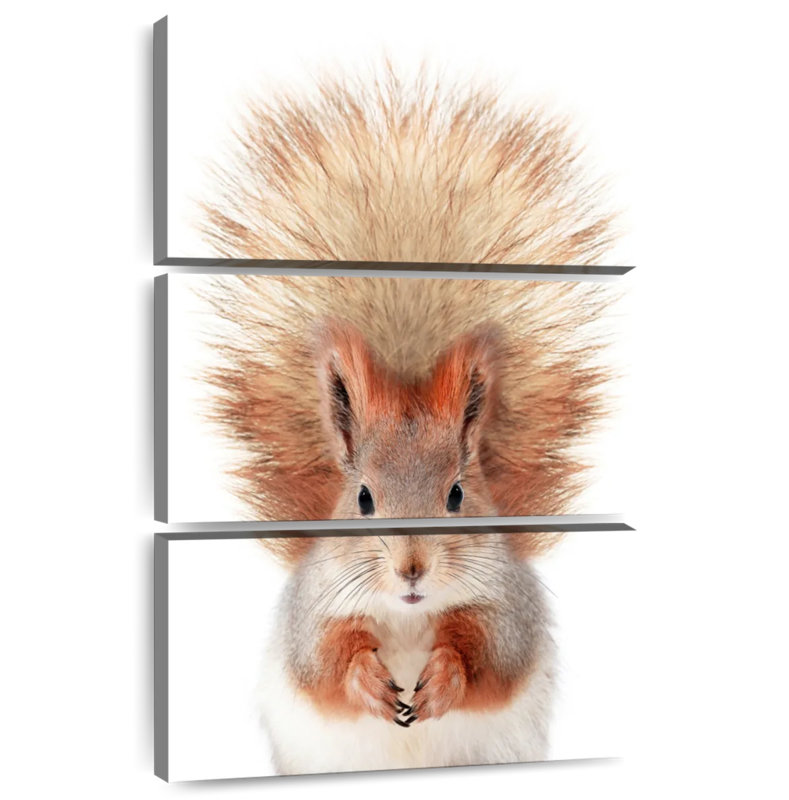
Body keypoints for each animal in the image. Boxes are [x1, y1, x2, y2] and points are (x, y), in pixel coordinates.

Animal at [198, 68, 619, 773]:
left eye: (457, 495)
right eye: (363, 498)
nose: (411, 568)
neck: (407, 615)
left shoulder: (507, 608)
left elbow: (490, 656)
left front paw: (444, 677)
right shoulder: (314, 611)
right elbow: (323, 662)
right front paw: (367, 680)